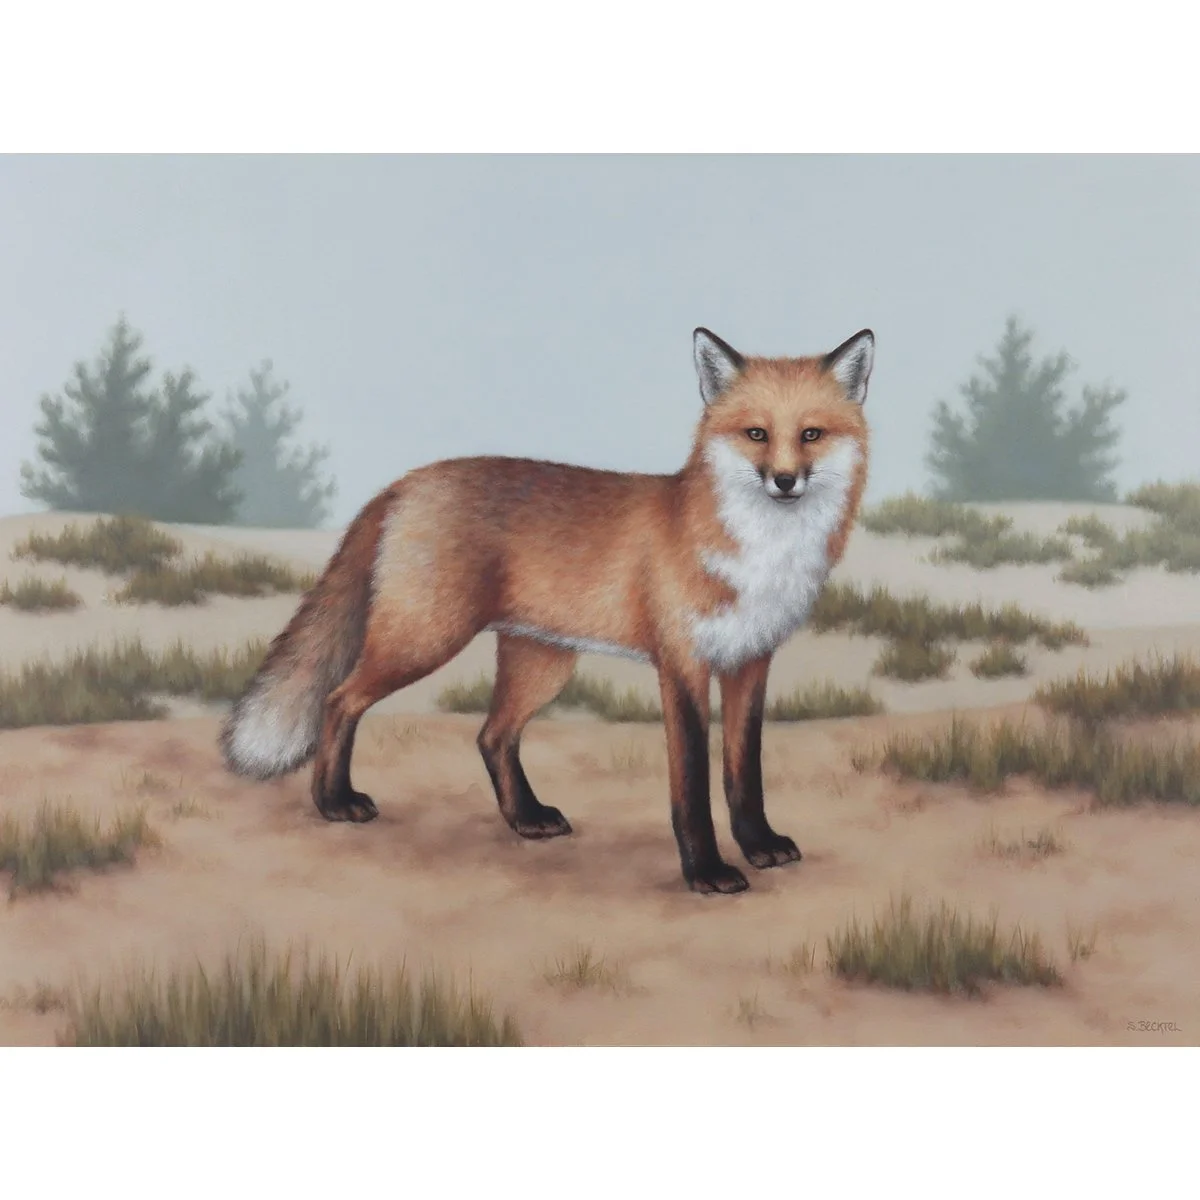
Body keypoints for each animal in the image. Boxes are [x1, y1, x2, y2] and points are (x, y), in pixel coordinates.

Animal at [220, 325, 874, 894]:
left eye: (811, 434)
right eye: (756, 434)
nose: (785, 481)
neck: (760, 556)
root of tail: (406, 482)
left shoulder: (749, 662)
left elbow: (744, 774)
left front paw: (759, 844)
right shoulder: (683, 666)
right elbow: (691, 785)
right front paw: (707, 872)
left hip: (542, 663)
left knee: (491, 735)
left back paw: (525, 818)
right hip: (424, 639)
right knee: (339, 700)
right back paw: (333, 802)